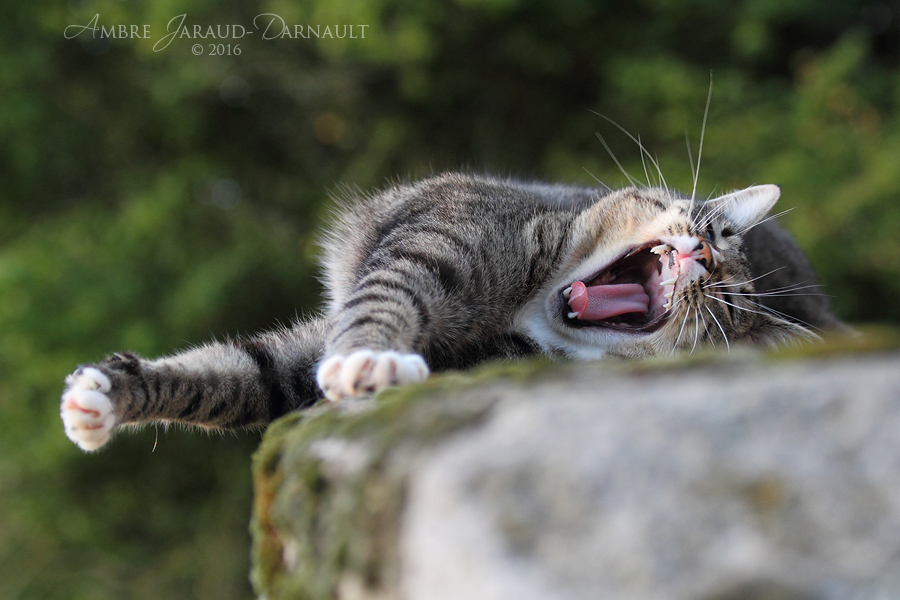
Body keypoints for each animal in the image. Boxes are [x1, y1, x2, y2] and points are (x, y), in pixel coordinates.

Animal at [59, 170, 840, 450]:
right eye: (710, 231)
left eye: (729, 306)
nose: (705, 260)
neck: (529, 309)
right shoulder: (436, 238)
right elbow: (240, 371)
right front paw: (106, 395)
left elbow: (257, 376)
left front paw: (366, 367)